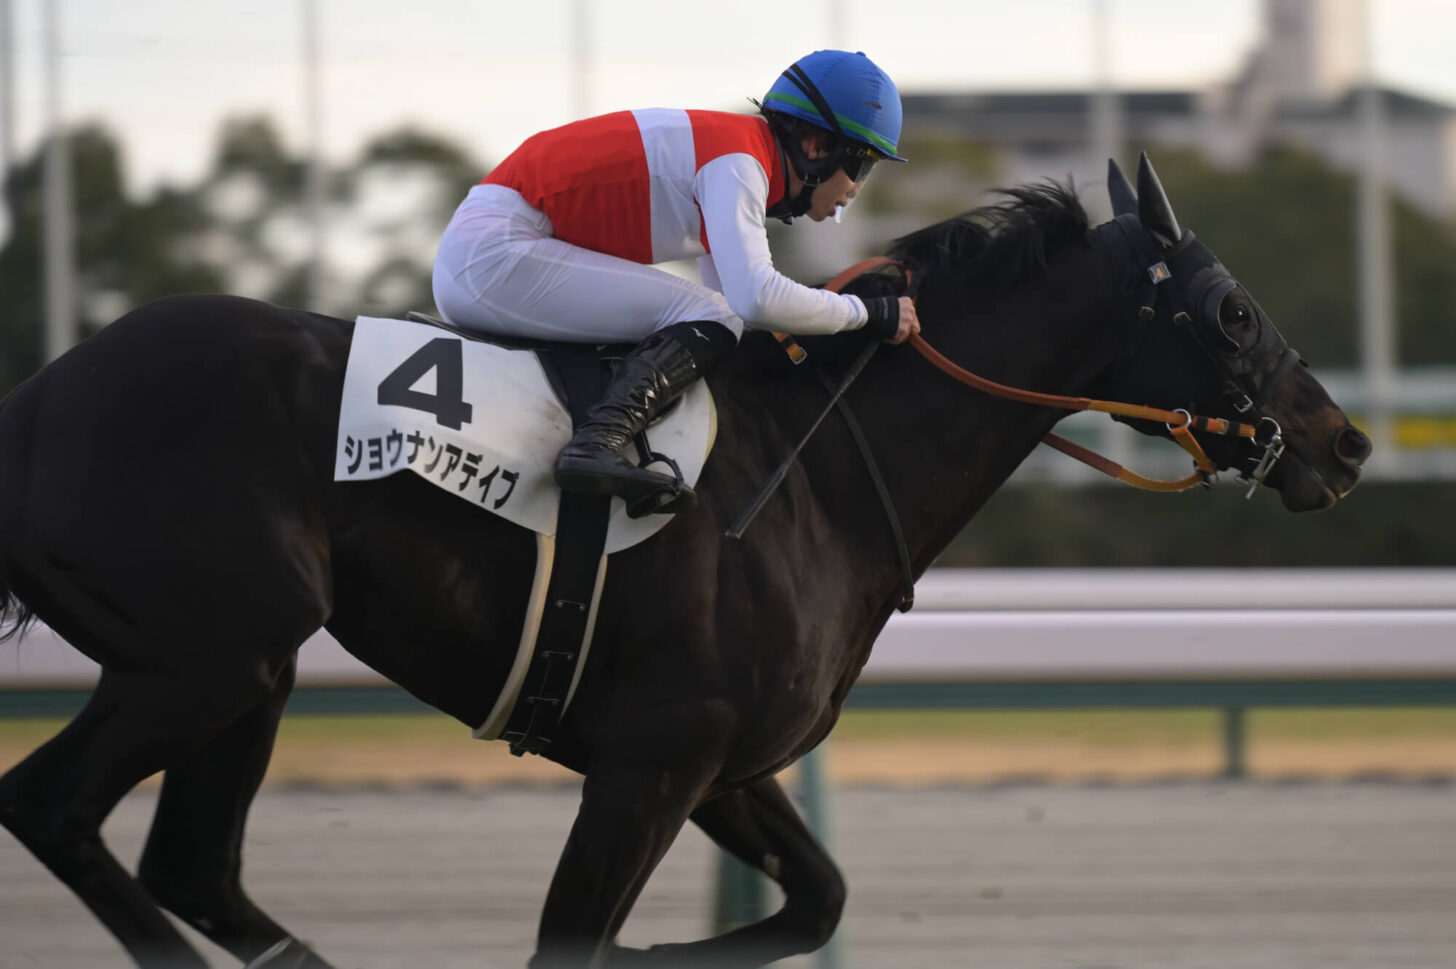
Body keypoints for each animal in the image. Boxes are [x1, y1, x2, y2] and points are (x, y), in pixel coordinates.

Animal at [0, 154, 1362, 960]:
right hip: (208, 655)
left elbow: (816, 900)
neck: (817, 471)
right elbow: (580, 938)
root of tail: (39, 394)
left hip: (252, 665)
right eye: (1235, 313)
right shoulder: (649, 764)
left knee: (189, 863)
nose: (1342, 444)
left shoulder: (721, 764)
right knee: (53, 805)